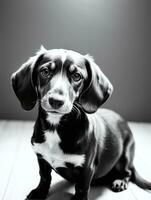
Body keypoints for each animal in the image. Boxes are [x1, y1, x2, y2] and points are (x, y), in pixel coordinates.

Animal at [10, 47, 151, 200]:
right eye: (45, 71)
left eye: (77, 76)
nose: (56, 101)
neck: (55, 127)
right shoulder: (41, 158)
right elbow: (44, 177)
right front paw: (39, 192)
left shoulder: (86, 167)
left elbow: (82, 188)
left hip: (125, 156)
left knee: (128, 172)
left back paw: (120, 181)